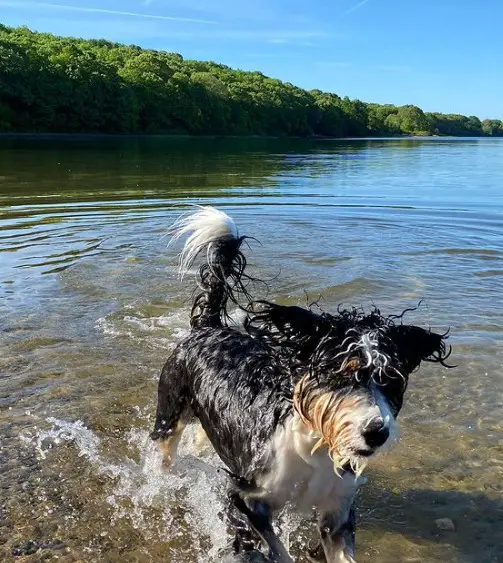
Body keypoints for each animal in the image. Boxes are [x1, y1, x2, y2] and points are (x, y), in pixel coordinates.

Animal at [151, 207, 452, 563]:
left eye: (391, 380)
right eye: (341, 374)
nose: (377, 432)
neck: (315, 444)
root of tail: (207, 327)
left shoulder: (337, 512)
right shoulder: (243, 497)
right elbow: (271, 548)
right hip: (169, 414)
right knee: (165, 451)